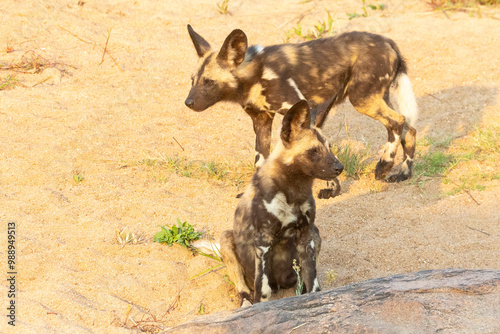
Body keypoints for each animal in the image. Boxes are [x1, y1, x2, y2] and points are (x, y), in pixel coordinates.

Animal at [184, 26, 418, 198]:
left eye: (209, 82)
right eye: (193, 80)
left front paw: (333, 187)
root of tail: (388, 42)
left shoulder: (304, 111)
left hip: (362, 100)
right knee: (410, 129)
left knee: (398, 121)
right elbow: (260, 160)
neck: (254, 74)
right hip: (377, 98)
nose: (188, 102)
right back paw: (403, 174)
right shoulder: (261, 120)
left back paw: (384, 166)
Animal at [215, 100, 344, 306]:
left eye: (330, 147)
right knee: (245, 289)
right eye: (313, 151)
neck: (294, 191)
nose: (340, 167)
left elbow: (314, 284)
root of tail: (279, 285)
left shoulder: (306, 236)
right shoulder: (263, 241)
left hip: (314, 237)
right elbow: (263, 290)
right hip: (227, 240)